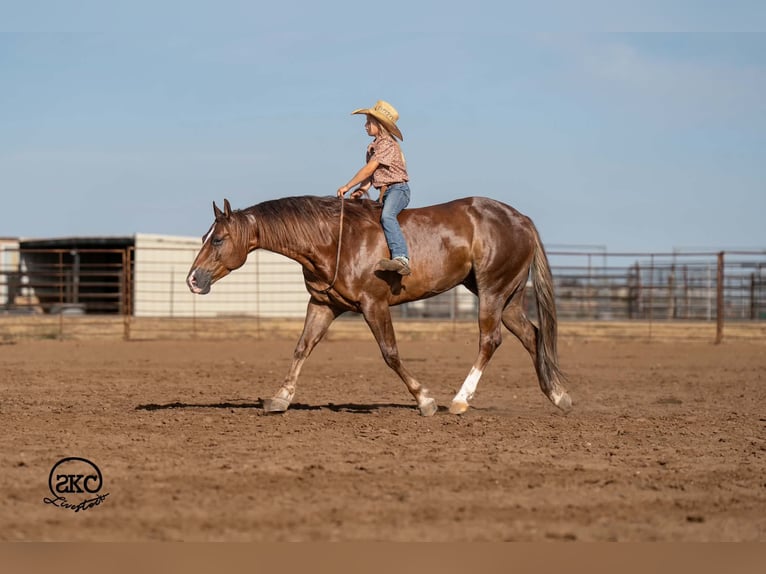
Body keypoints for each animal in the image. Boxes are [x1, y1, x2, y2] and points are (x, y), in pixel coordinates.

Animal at [186, 195, 572, 417]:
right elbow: (301, 349)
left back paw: (460, 401)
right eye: (206, 236)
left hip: (492, 292)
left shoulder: (375, 305)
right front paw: (279, 399)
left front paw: (425, 400)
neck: (335, 239)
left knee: (490, 341)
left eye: (218, 239)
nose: (193, 280)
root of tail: (521, 219)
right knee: (533, 335)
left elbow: (391, 353)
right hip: (507, 296)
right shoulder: (323, 304)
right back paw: (558, 396)